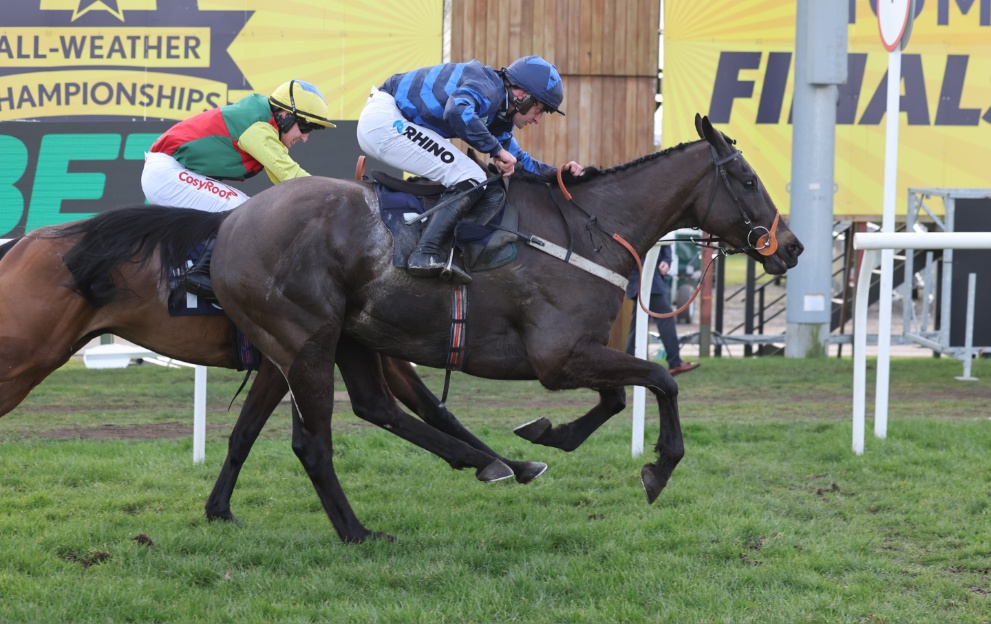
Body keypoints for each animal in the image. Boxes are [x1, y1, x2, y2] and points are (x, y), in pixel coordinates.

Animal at [207, 116, 808, 540]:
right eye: (748, 179)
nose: (793, 247)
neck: (591, 230)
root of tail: (232, 223)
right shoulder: (556, 356)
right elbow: (661, 380)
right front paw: (658, 469)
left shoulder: (577, 351)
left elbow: (617, 398)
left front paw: (548, 434)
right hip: (306, 342)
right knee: (313, 444)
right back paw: (359, 531)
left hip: (349, 337)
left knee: (374, 408)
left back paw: (494, 463)